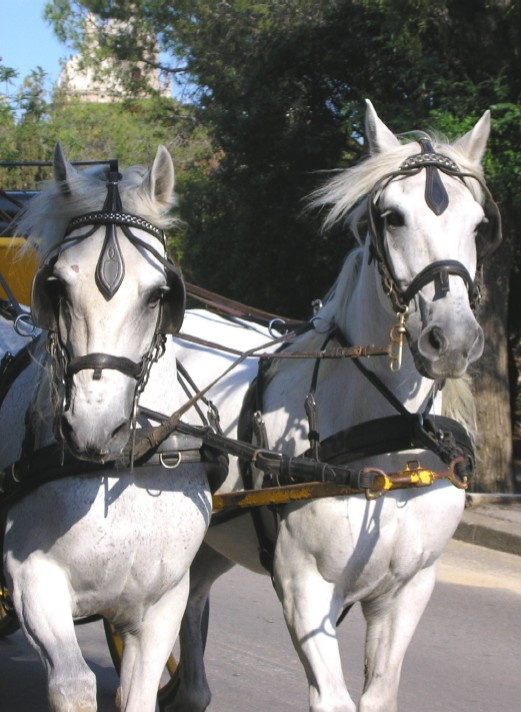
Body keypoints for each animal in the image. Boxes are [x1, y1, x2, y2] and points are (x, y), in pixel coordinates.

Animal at [0, 144, 214, 712]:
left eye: (159, 294)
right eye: (56, 286)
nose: (95, 430)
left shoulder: (163, 604)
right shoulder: (33, 581)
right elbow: (74, 685)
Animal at [168, 100, 499, 712]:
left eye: (477, 226)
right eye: (391, 217)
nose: (453, 340)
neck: (393, 441)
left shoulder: (409, 589)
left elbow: (379, 696)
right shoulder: (305, 587)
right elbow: (334, 700)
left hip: (210, 540)